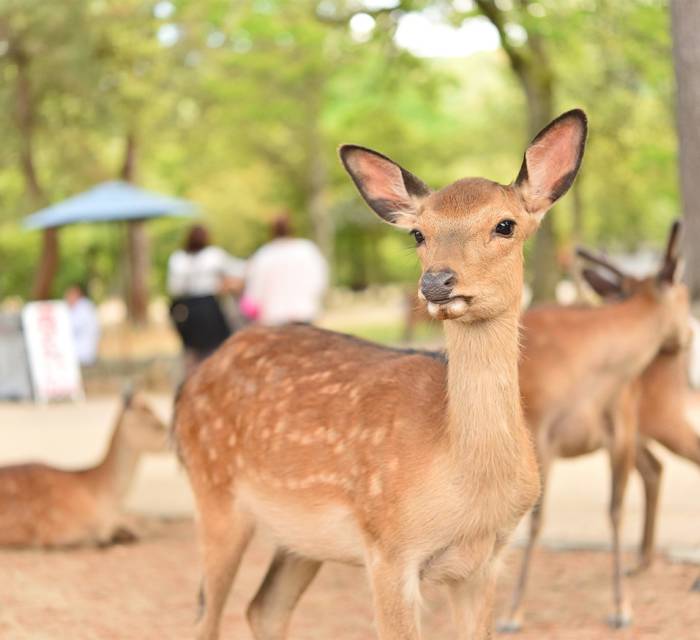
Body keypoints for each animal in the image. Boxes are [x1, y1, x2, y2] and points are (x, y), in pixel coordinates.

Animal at [174, 110, 592, 640]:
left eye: (505, 224)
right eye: (418, 233)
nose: (436, 282)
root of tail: (185, 390)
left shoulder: (486, 560)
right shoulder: (389, 546)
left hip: (299, 538)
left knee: (262, 607)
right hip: (214, 493)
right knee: (204, 616)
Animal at [500, 222, 692, 632]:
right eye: (685, 296)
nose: (687, 336)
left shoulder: (618, 430)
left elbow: (615, 510)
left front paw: (622, 608)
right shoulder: (540, 430)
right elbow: (536, 519)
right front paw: (512, 612)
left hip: (662, 417)